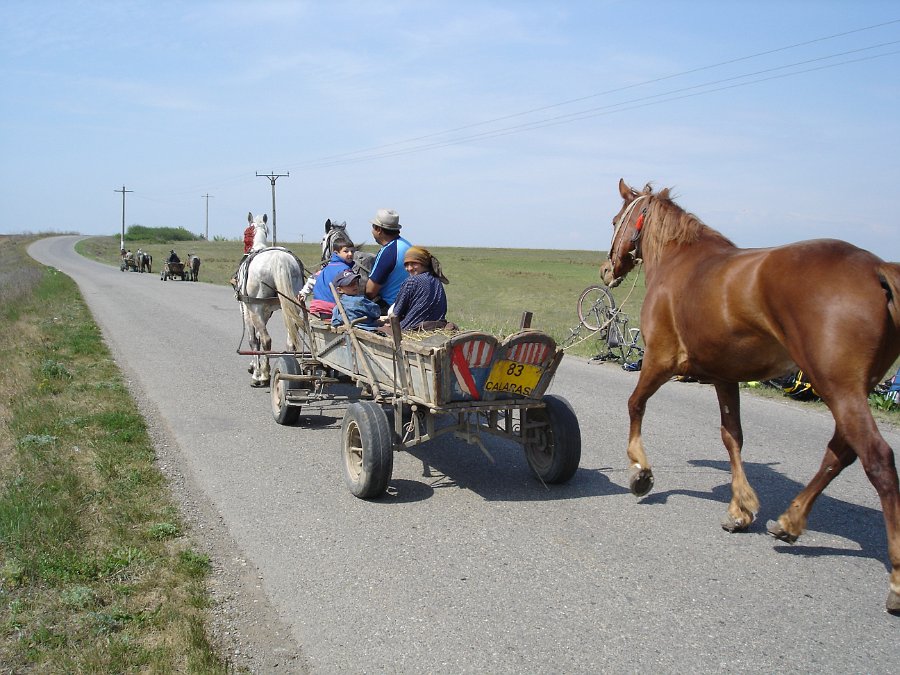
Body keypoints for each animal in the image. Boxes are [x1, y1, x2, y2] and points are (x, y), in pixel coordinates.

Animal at [234, 214, 308, 388]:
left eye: (245, 232)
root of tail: (279, 259)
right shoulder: (267, 311)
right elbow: (258, 337)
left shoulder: (248, 309)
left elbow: (254, 340)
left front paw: (256, 371)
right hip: (291, 306)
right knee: (290, 340)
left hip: (255, 307)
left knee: (266, 340)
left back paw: (264, 375)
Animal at [600, 177, 900, 616]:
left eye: (615, 220)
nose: (607, 270)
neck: (678, 261)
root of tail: (877, 267)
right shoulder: (725, 377)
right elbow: (732, 437)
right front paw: (740, 508)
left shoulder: (660, 360)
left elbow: (635, 405)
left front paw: (640, 471)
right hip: (850, 389)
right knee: (840, 452)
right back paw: (791, 521)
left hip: (839, 388)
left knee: (876, 458)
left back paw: (895, 580)